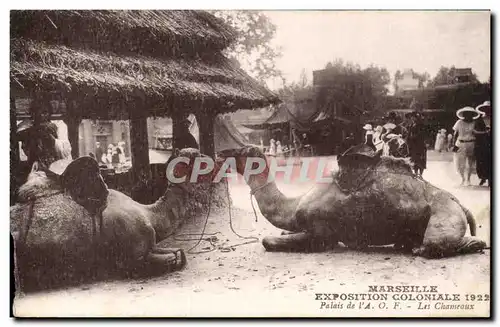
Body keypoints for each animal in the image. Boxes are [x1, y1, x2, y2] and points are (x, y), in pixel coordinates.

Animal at [11, 149, 207, 292]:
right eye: (196, 156)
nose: (209, 157)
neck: (149, 212)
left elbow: (178, 252)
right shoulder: (133, 255)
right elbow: (169, 259)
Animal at [218, 146, 484, 258]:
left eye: (240, 151)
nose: (220, 153)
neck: (294, 206)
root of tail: (460, 204)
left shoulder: (322, 234)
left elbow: (268, 241)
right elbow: (282, 234)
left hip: (444, 214)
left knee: (432, 245)